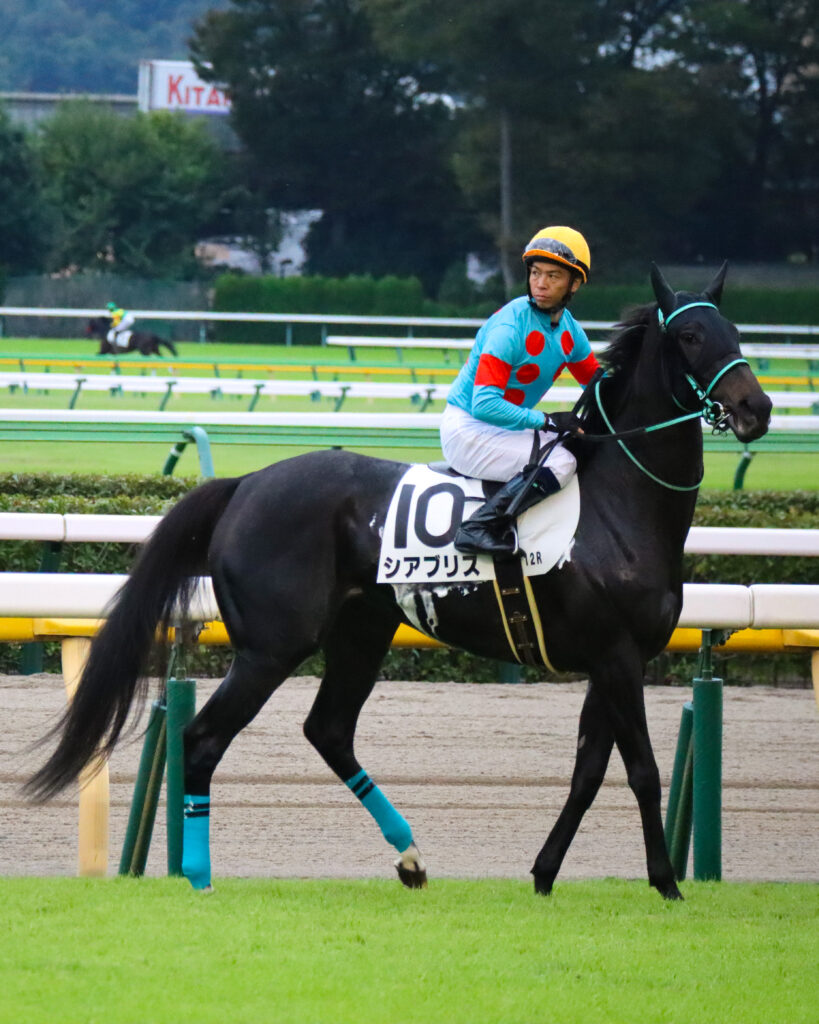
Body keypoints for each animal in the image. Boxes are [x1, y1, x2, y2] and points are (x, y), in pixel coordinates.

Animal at [30, 264, 771, 900]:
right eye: (689, 336)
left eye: (736, 332)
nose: (756, 408)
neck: (620, 504)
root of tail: (245, 483)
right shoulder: (617, 655)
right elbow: (640, 770)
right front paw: (666, 883)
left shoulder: (607, 659)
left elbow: (588, 769)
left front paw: (544, 873)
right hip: (273, 646)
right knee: (203, 739)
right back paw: (199, 873)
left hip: (361, 630)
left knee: (328, 730)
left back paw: (410, 857)